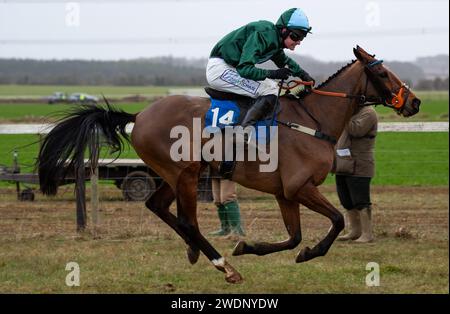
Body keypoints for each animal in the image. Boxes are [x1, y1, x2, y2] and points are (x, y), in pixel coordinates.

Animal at [37, 45, 420, 284]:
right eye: (383, 73)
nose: (414, 102)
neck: (313, 120)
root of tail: (139, 115)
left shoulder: (284, 192)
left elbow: (293, 237)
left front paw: (250, 246)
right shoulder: (300, 186)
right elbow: (337, 220)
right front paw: (309, 252)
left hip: (176, 175)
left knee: (157, 206)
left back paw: (196, 252)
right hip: (186, 174)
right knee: (187, 221)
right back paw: (224, 266)